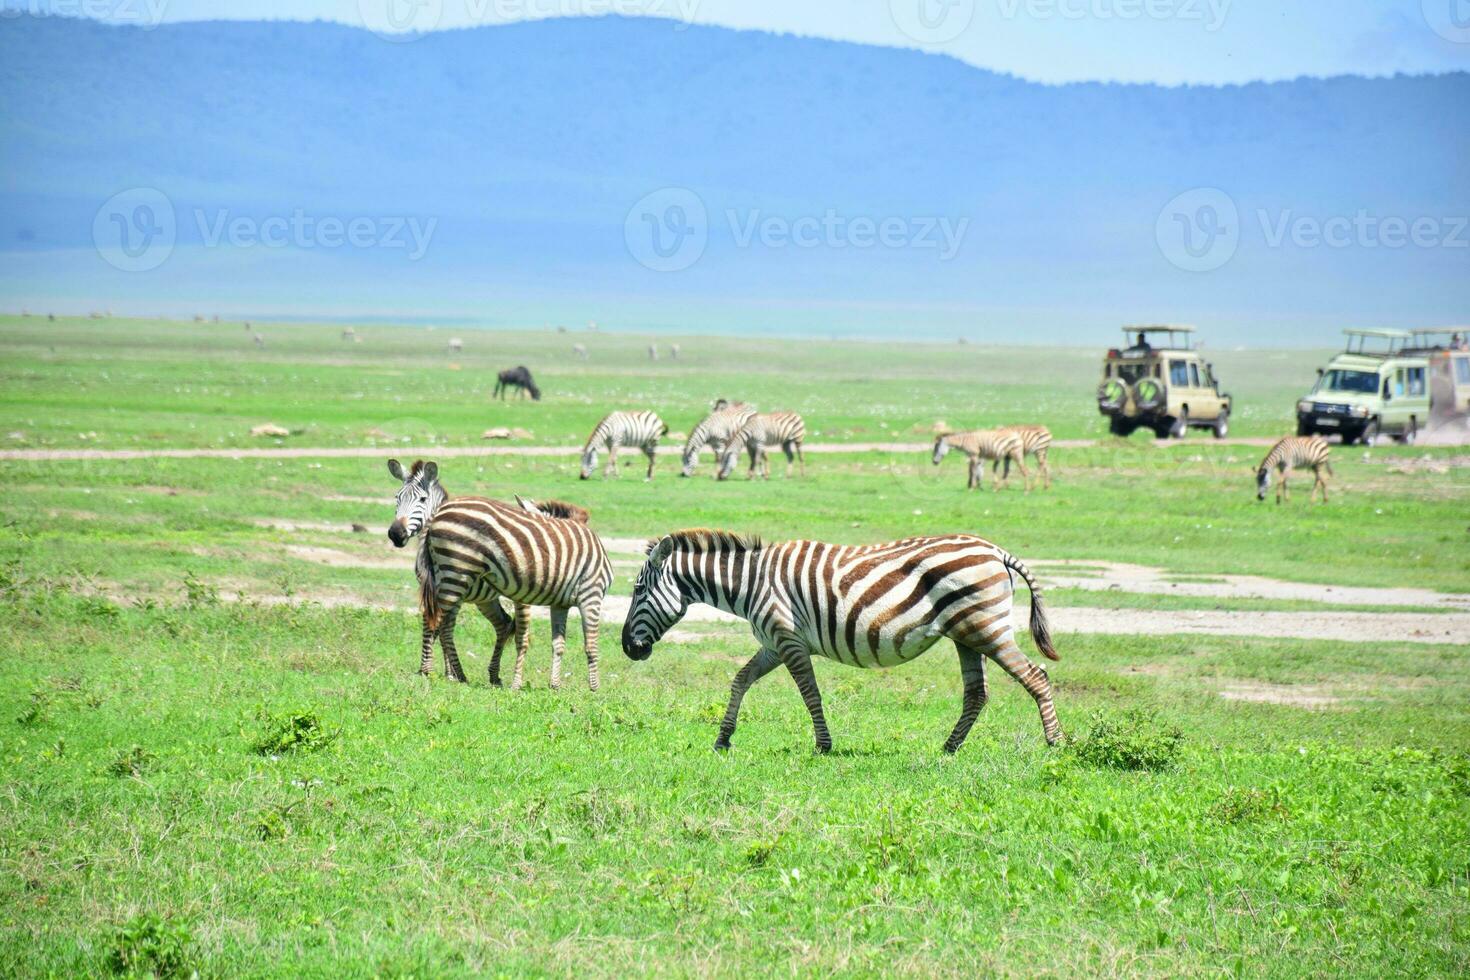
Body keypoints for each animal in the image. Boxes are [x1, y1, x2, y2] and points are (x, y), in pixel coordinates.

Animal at [388, 461, 611, 690]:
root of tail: (436, 520)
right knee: (439, 621)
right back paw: (438, 672)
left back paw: (467, 674)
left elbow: (544, 641)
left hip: (459, 582)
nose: (395, 534)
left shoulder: (545, 601)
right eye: (397, 498)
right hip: (458, 576)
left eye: (422, 499)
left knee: (472, 624)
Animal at [626, 528, 1064, 752]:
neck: (752, 582)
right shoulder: (773, 643)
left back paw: (1056, 743)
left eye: (637, 590)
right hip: (966, 635)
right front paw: (723, 739)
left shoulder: (789, 639)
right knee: (977, 693)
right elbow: (740, 680)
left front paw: (823, 745)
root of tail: (996, 550)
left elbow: (810, 694)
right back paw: (948, 748)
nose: (628, 649)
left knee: (1036, 677)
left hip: (987, 628)